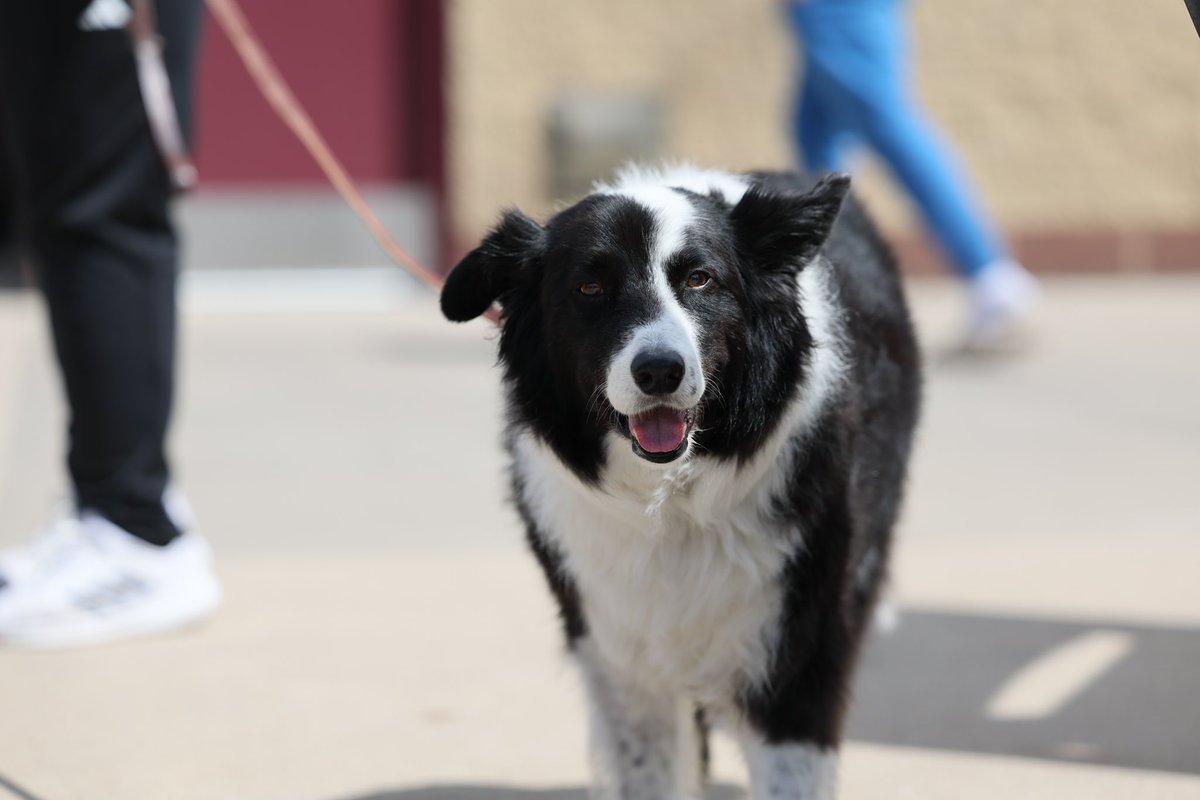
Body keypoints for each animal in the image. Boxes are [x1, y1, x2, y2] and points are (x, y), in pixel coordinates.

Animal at [441, 165, 916, 796]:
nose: (660, 371)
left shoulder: (799, 663)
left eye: (699, 279)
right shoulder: (623, 663)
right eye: (589, 288)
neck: (673, 502)